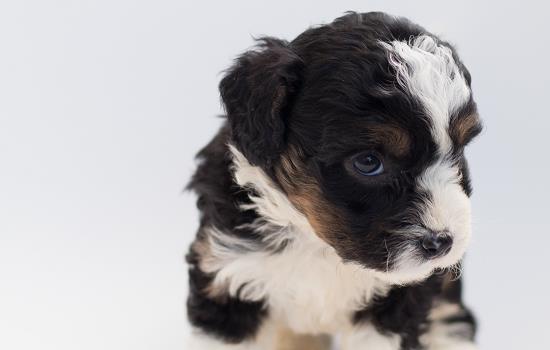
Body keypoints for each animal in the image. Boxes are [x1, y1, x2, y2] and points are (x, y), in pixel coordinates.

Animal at [185, 11, 484, 350]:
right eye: (368, 162)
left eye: (458, 149)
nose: (442, 242)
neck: (317, 243)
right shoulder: (226, 277)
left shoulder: (398, 303)